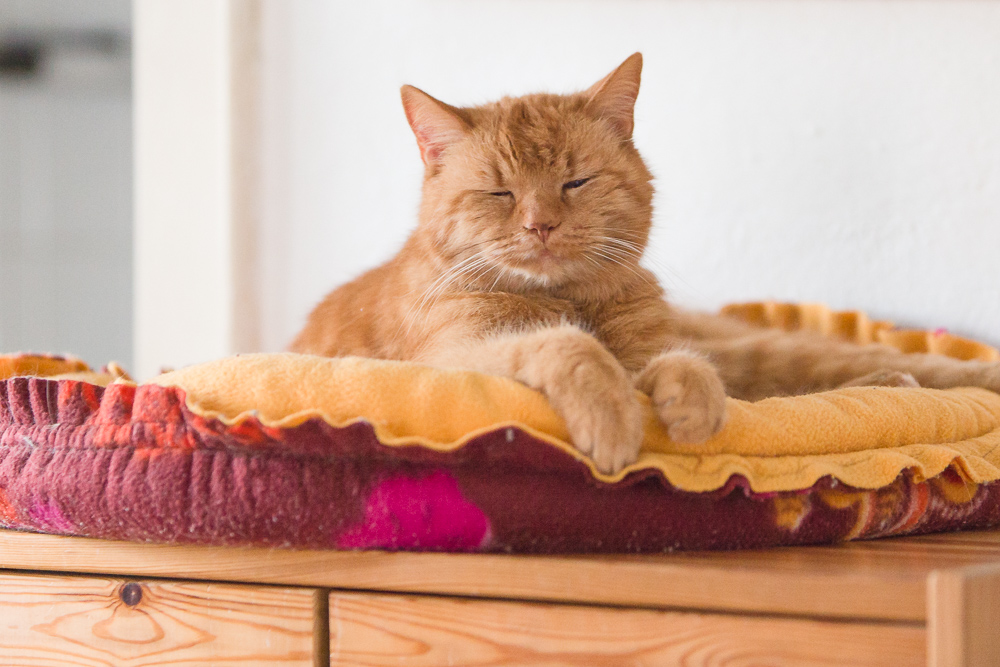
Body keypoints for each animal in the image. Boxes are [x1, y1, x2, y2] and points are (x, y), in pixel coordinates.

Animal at [292, 53, 1000, 474]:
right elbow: (571, 349)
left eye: (575, 182)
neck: (567, 299)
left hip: (765, 348)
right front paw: (613, 414)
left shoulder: (653, 349)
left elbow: (681, 363)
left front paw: (690, 395)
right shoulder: (450, 361)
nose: (540, 224)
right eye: (500, 194)